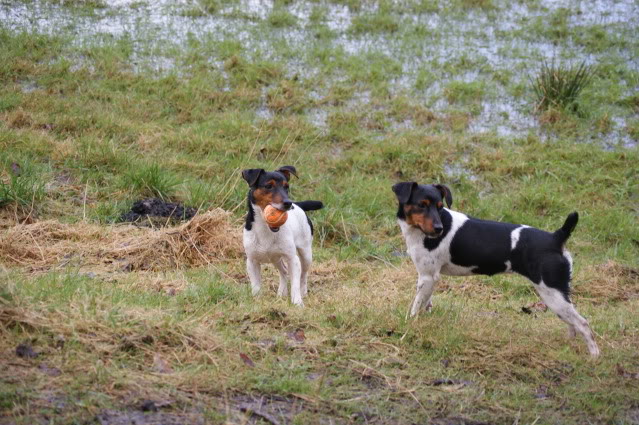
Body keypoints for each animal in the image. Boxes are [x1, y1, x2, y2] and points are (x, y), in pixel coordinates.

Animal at [396, 181, 600, 356]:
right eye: (422, 205)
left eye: (440, 206)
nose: (438, 229)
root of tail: (556, 238)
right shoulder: (429, 277)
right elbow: (426, 302)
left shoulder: (427, 276)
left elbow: (416, 305)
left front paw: (409, 325)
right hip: (559, 294)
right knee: (572, 323)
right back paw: (568, 345)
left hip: (552, 293)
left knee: (583, 324)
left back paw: (594, 357)